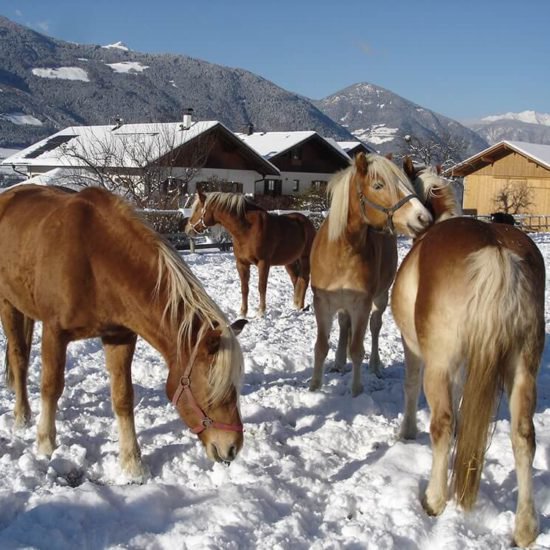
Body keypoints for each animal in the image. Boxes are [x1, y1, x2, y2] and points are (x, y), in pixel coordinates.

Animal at [0, 185, 247, 478]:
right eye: (214, 389)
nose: (232, 448)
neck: (96, 260)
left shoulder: (120, 337)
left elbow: (123, 397)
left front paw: (132, 463)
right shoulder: (55, 332)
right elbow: (51, 386)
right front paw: (46, 443)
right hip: (7, 304)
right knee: (19, 359)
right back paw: (21, 416)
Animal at [188, 191, 316, 316]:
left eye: (197, 209)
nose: (188, 229)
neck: (248, 230)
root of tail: (307, 222)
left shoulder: (263, 263)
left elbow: (261, 287)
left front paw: (261, 312)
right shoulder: (241, 263)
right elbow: (244, 288)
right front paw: (243, 312)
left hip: (304, 258)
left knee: (304, 280)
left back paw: (300, 306)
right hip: (289, 261)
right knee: (296, 279)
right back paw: (296, 304)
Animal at [308, 154, 434, 396]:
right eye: (378, 185)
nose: (424, 218)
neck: (342, 251)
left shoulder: (362, 304)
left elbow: (357, 348)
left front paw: (356, 390)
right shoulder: (322, 302)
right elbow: (321, 346)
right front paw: (314, 387)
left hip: (380, 298)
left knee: (375, 327)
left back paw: (375, 365)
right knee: (344, 324)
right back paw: (339, 361)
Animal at [392, 164, 548, 548]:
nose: (412, 222)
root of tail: (496, 253)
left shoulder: (414, 349)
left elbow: (411, 387)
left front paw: (406, 432)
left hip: (440, 365)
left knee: (442, 423)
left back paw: (434, 499)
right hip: (523, 369)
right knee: (524, 436)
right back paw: (526, 528)